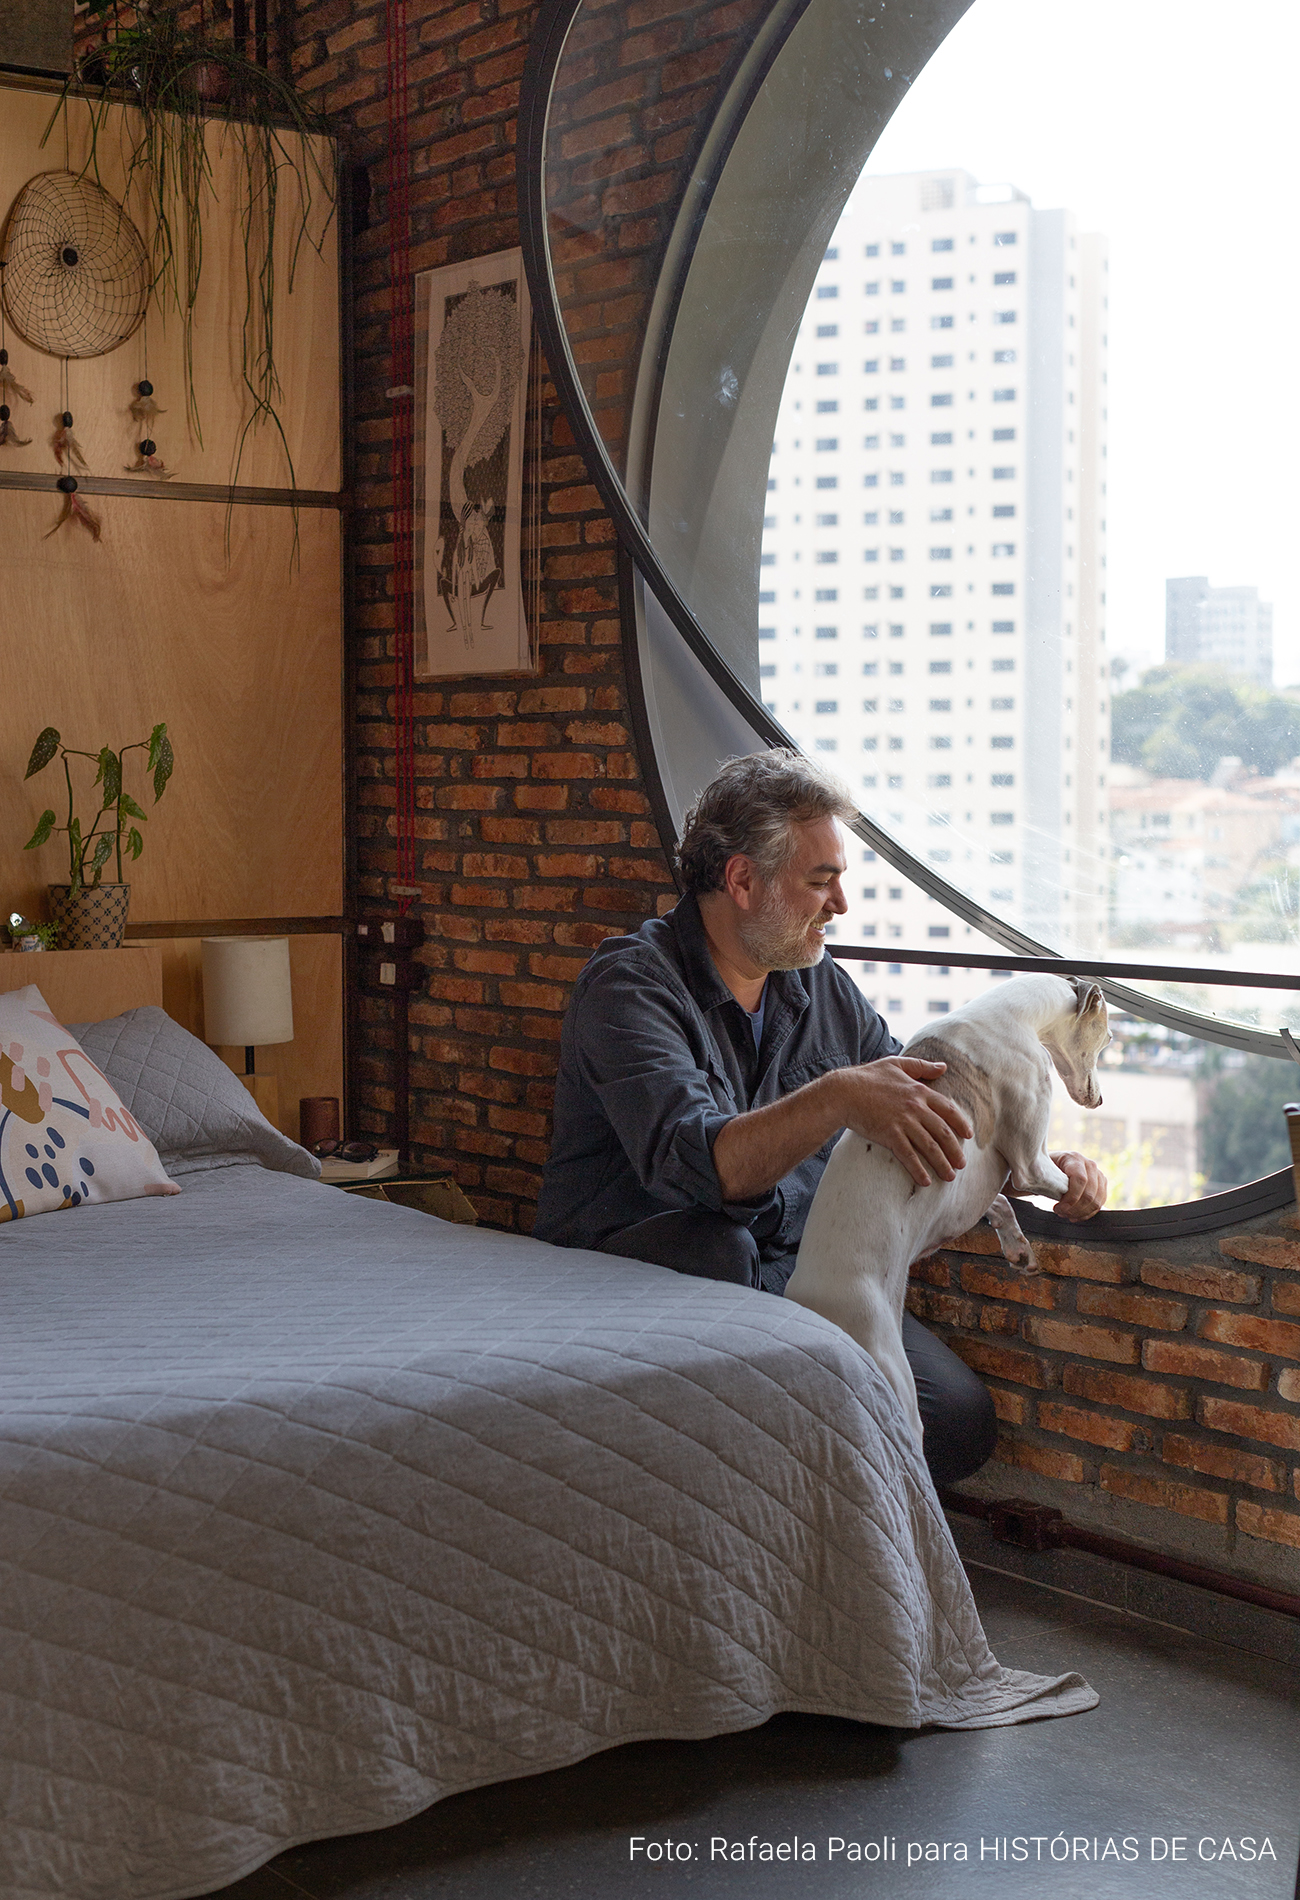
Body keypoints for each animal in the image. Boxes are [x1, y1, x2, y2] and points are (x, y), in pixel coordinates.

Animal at [783, 980, 1109, 1436]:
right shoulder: (1029, 1163)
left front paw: (1018, 1249)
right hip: (892, 1378)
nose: (1100, 1101)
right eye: (1108, 1037)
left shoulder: (975, 1175)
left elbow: (1001, 1203)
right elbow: (1041, 1181)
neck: (1011, 1014)